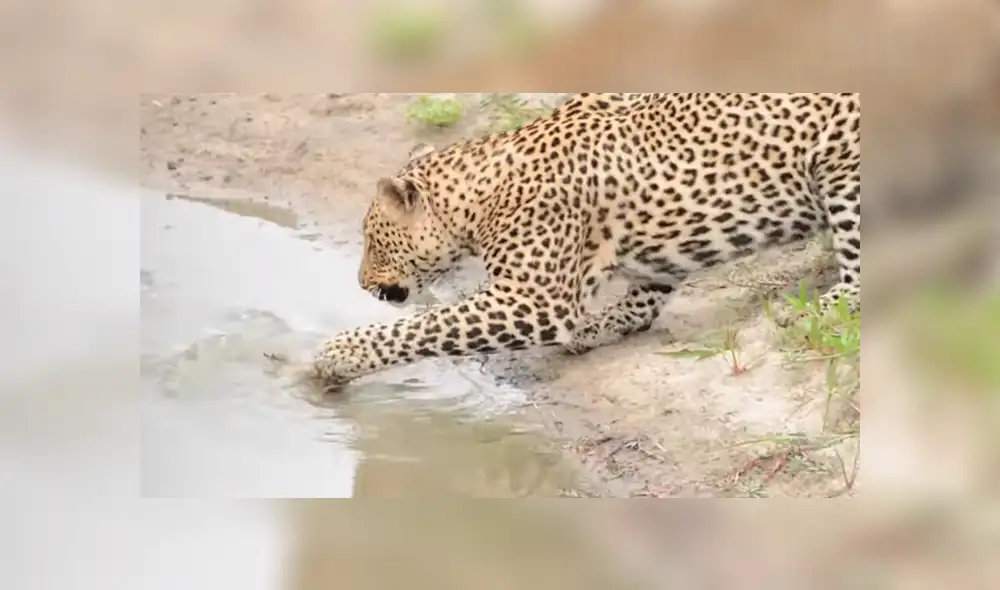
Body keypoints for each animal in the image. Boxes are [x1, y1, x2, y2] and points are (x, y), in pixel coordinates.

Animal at [314, 93, 860, 388]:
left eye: (372, 241)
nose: (360, 284)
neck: (478, 195)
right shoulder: (654, 253)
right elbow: (643, 297)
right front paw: (598, 325)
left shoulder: (532, 301)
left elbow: (425, 325)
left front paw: (340, 353)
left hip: (844, 172)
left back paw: (812, 308)